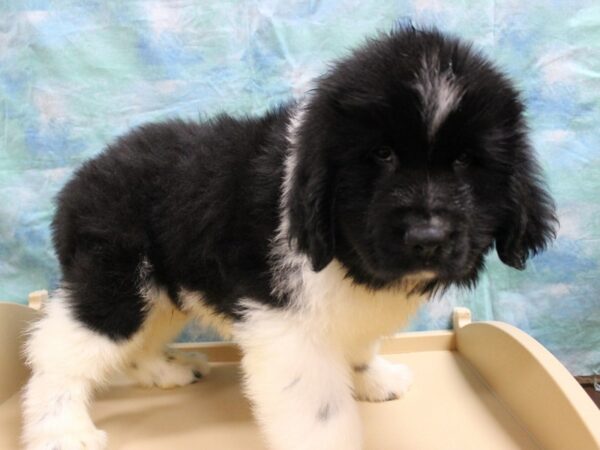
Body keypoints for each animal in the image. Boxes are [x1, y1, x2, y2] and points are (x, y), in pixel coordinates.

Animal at [23, 26, 556, 448]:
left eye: (466, 161)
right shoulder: (288, 331)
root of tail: (78, 182)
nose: (428, 235)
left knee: (136, 342)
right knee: (59, 350)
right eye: (381, 155)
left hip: (162, 290)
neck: (345, 255)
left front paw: (374, 378)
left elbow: (358, 346)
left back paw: (165, 370)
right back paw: (61, 431)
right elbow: (321, 416)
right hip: (115, 281)